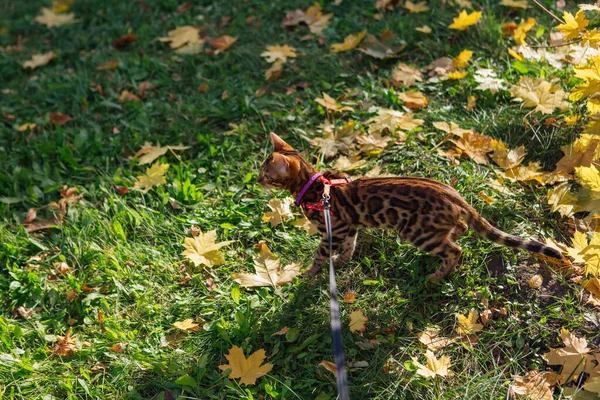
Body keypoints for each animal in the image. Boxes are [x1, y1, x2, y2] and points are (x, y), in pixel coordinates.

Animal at [258, 132, 568, 282]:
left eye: (265, 173)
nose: (258, 179)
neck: (313, 184)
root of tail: (454, 195)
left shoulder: (333, 229)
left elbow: (320, 255)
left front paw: (310, 275)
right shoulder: (350, 227)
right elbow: (350, 247)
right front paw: (342, 261)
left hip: (417, 232)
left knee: (456, 250)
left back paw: (436, 276)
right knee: (460, 228)